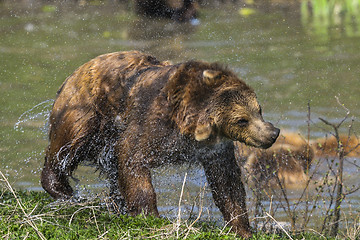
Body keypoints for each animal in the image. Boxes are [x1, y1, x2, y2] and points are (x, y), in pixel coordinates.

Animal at [40, 50, 280, 238]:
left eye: (258, 109)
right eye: (242, 120)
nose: (272, 133)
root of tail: (77, 70)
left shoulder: (215, 150)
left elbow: (227, 183)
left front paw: (242, 227)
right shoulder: (153, 124)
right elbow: (132, 158)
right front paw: (151, 215)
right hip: (87, 110)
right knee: (69, 146)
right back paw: (62, 190)